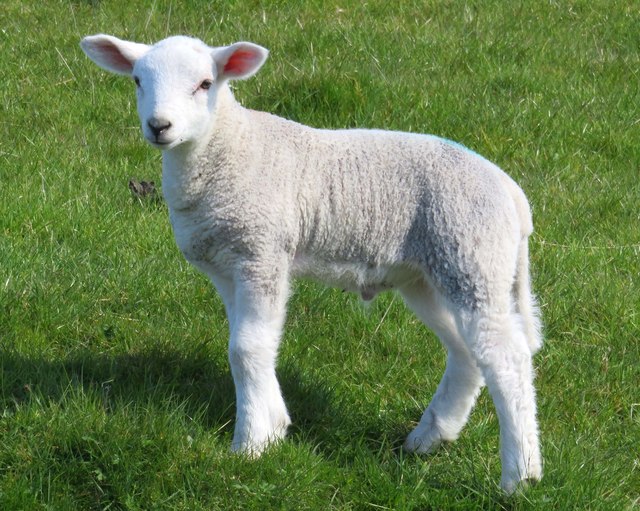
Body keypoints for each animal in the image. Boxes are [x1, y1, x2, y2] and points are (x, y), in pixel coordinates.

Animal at [77, 34, 544, 494]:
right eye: (138, 80)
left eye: (206, 84)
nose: (159, 126)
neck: (230, 146)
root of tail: (513, 194)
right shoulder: (228, 268)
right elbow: (251, 345)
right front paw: (273, 425)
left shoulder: (262, 251)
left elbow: (246, 347)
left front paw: (249, 445)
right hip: (428, 275)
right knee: (467, 354)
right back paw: (429, 438)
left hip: (471, 256)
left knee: (507, 360)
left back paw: (520, 476)